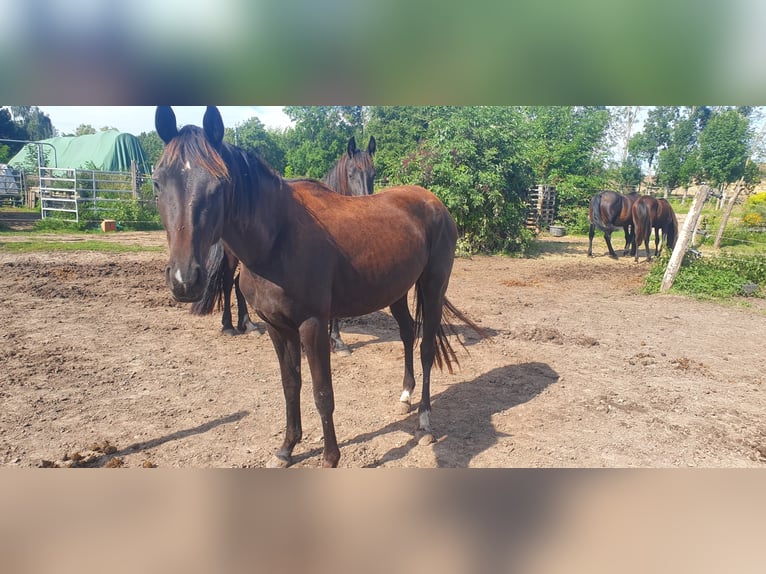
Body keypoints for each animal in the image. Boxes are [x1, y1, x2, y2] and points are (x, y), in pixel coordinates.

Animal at [191, 136, 376, 342]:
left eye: (373, 173)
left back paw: (248, 324)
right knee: (228, 282)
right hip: (232, 256)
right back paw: (229, 326)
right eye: (351, 174)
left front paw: (336, 339)